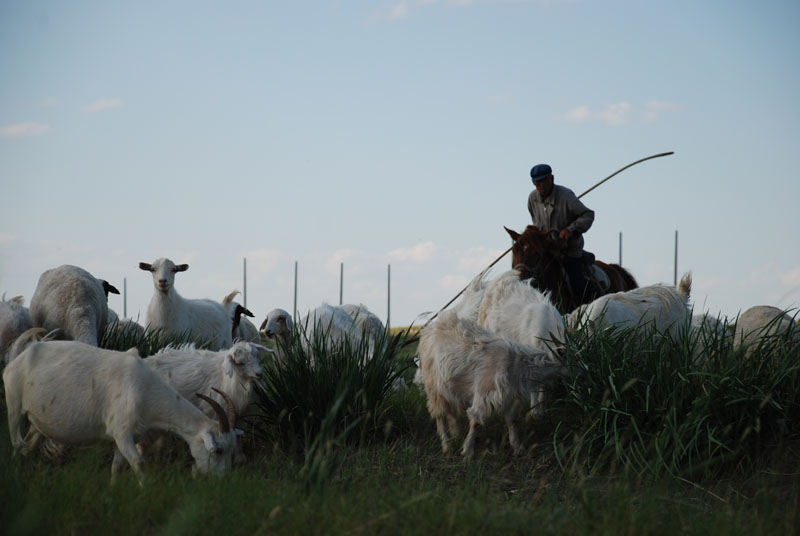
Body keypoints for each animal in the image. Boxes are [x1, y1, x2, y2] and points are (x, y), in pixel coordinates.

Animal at [4, 330, 239, 486]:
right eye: (218, 450)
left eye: (231, 449)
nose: (223, 481)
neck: (145, 387)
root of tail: (20, 355)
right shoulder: (121, 430)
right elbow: (138, 462)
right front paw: (144, 491)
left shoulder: (128, 436)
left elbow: (117, 465)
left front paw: (112, 489)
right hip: (13, 403)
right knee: (16, 443)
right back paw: (15, 478)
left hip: (37, 422)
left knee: (27, 446)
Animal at [418, 310, 568, 456]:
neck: (516, 364)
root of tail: (429, 330)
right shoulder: (484, 393)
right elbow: (476, 422)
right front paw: (468, 451)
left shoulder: (509, 397)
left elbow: (512, 421)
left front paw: (518, 448)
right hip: (433, 387)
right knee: (440, 415)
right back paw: (447, 445)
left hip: (449, 387)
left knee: (450, 411)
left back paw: (456, 434)